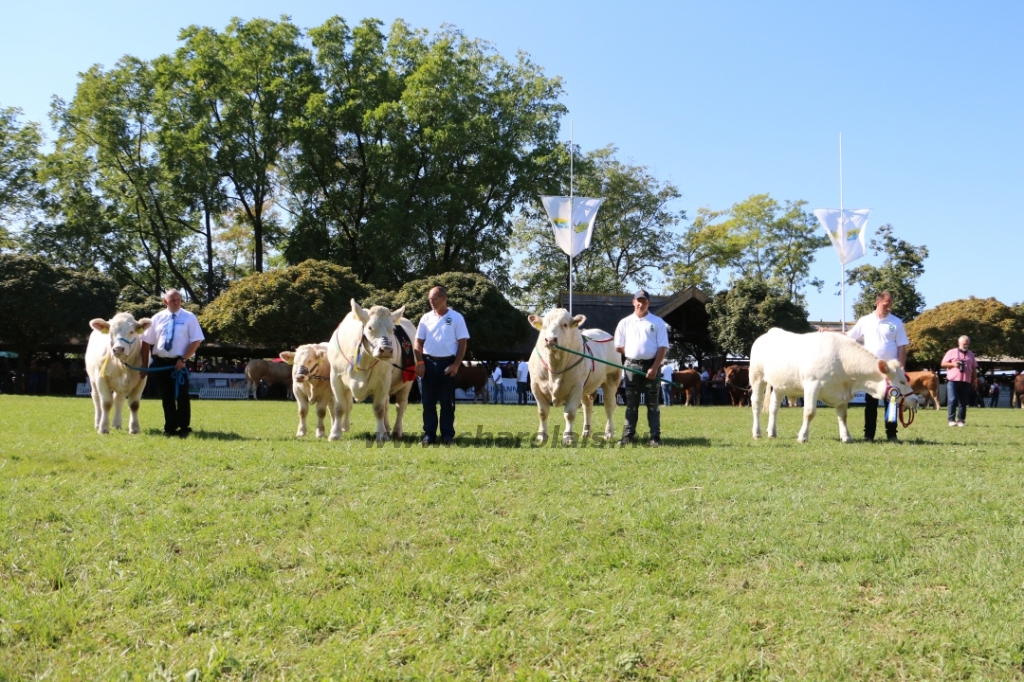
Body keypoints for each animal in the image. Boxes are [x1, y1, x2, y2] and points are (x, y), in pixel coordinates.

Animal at [327, 299, 415, 440]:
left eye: (393, 329)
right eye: (370, 327)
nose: (386, 350)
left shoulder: (384, 380)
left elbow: (379, 409)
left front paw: (381, 435)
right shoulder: (335, 377)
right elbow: (340, 407)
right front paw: (335, 434)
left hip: (407, 382)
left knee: (400, 406)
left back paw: (396, 431)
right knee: (387, 405)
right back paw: (387, 428)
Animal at [528, 307, 622, 444]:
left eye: (565, 324)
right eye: (544, 325)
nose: (550, 340)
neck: (556, 364)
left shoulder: (576, 387)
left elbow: (569, 413)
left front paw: (568, 437)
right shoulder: (535, 386)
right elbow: (542, 412)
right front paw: (542, 436)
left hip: (611, 380)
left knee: (609, 406)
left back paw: (608, 433)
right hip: (586, 388)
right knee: (587, 407)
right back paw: (586, 433)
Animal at [745, 327, 921, 440]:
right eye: (902, 381)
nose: (915, 400)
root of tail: (770, 332)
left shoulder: (842, 393)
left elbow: (843, 416)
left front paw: (846, 437)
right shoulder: (812, 384)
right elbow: (809, 412)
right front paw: (802, 436)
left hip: (780, 385)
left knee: (774, 407)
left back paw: (772, 433)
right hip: (757, 376)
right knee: (756, 404)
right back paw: (756, 433)